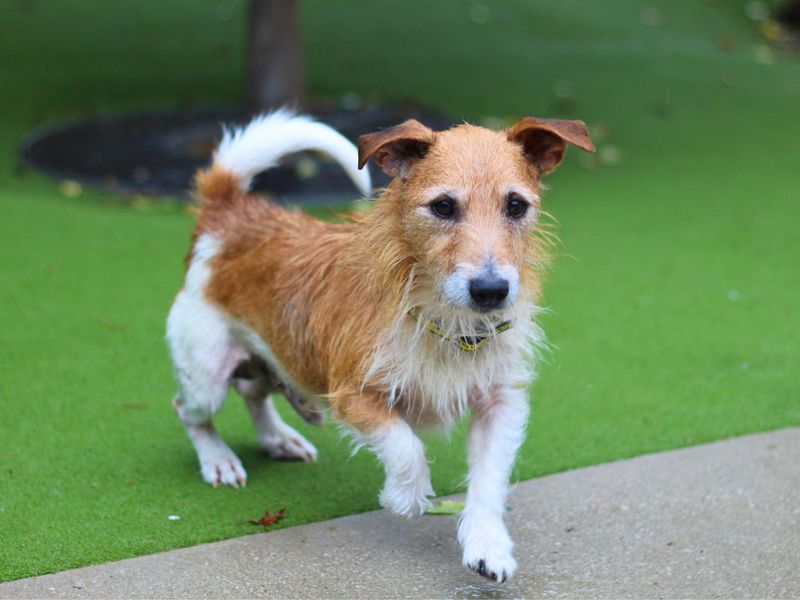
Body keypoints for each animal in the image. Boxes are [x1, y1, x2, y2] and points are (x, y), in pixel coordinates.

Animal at [167, 109, 592, 580]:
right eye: (443, 206)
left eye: (515, 205)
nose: (491, 290)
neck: (443, 320)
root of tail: (228, 212)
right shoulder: (352, 394)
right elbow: (406, 445)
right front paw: (405, 497)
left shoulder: (501, 403)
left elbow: (489, 478)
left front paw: (488, 545)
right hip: (206, 375)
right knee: (189, 410)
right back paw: (218, 460)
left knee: (254, 390)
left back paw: (279, 438)